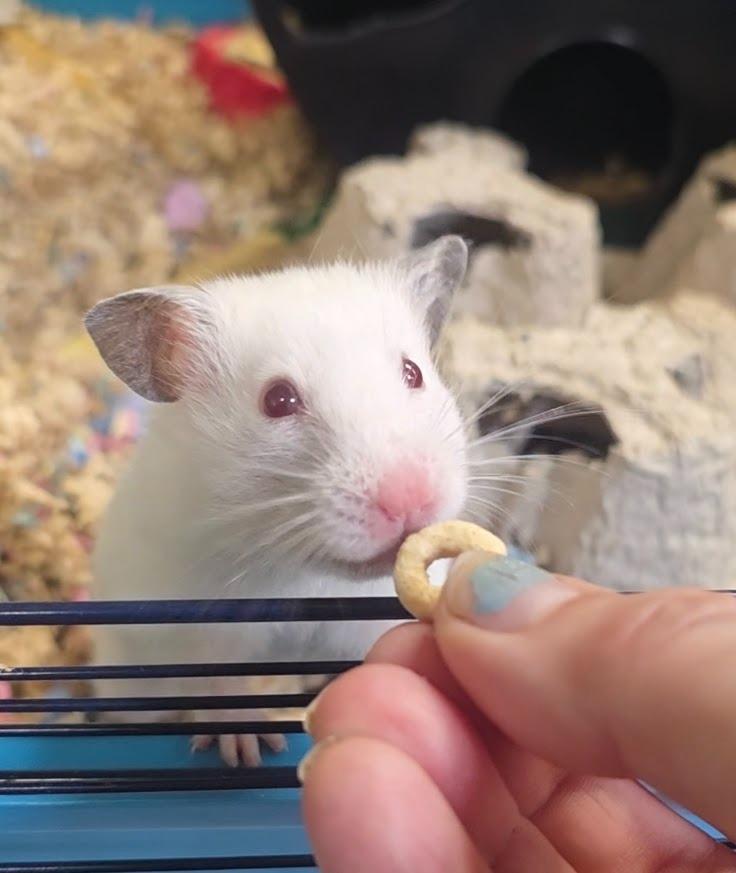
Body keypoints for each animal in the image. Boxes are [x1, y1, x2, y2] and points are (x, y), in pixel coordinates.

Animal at [84, 235, 470, 766]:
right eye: (278, 400)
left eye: (413, 373)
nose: (410, 498)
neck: (308, 573)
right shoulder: (201, 626)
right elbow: (220, 686)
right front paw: (248, 749)